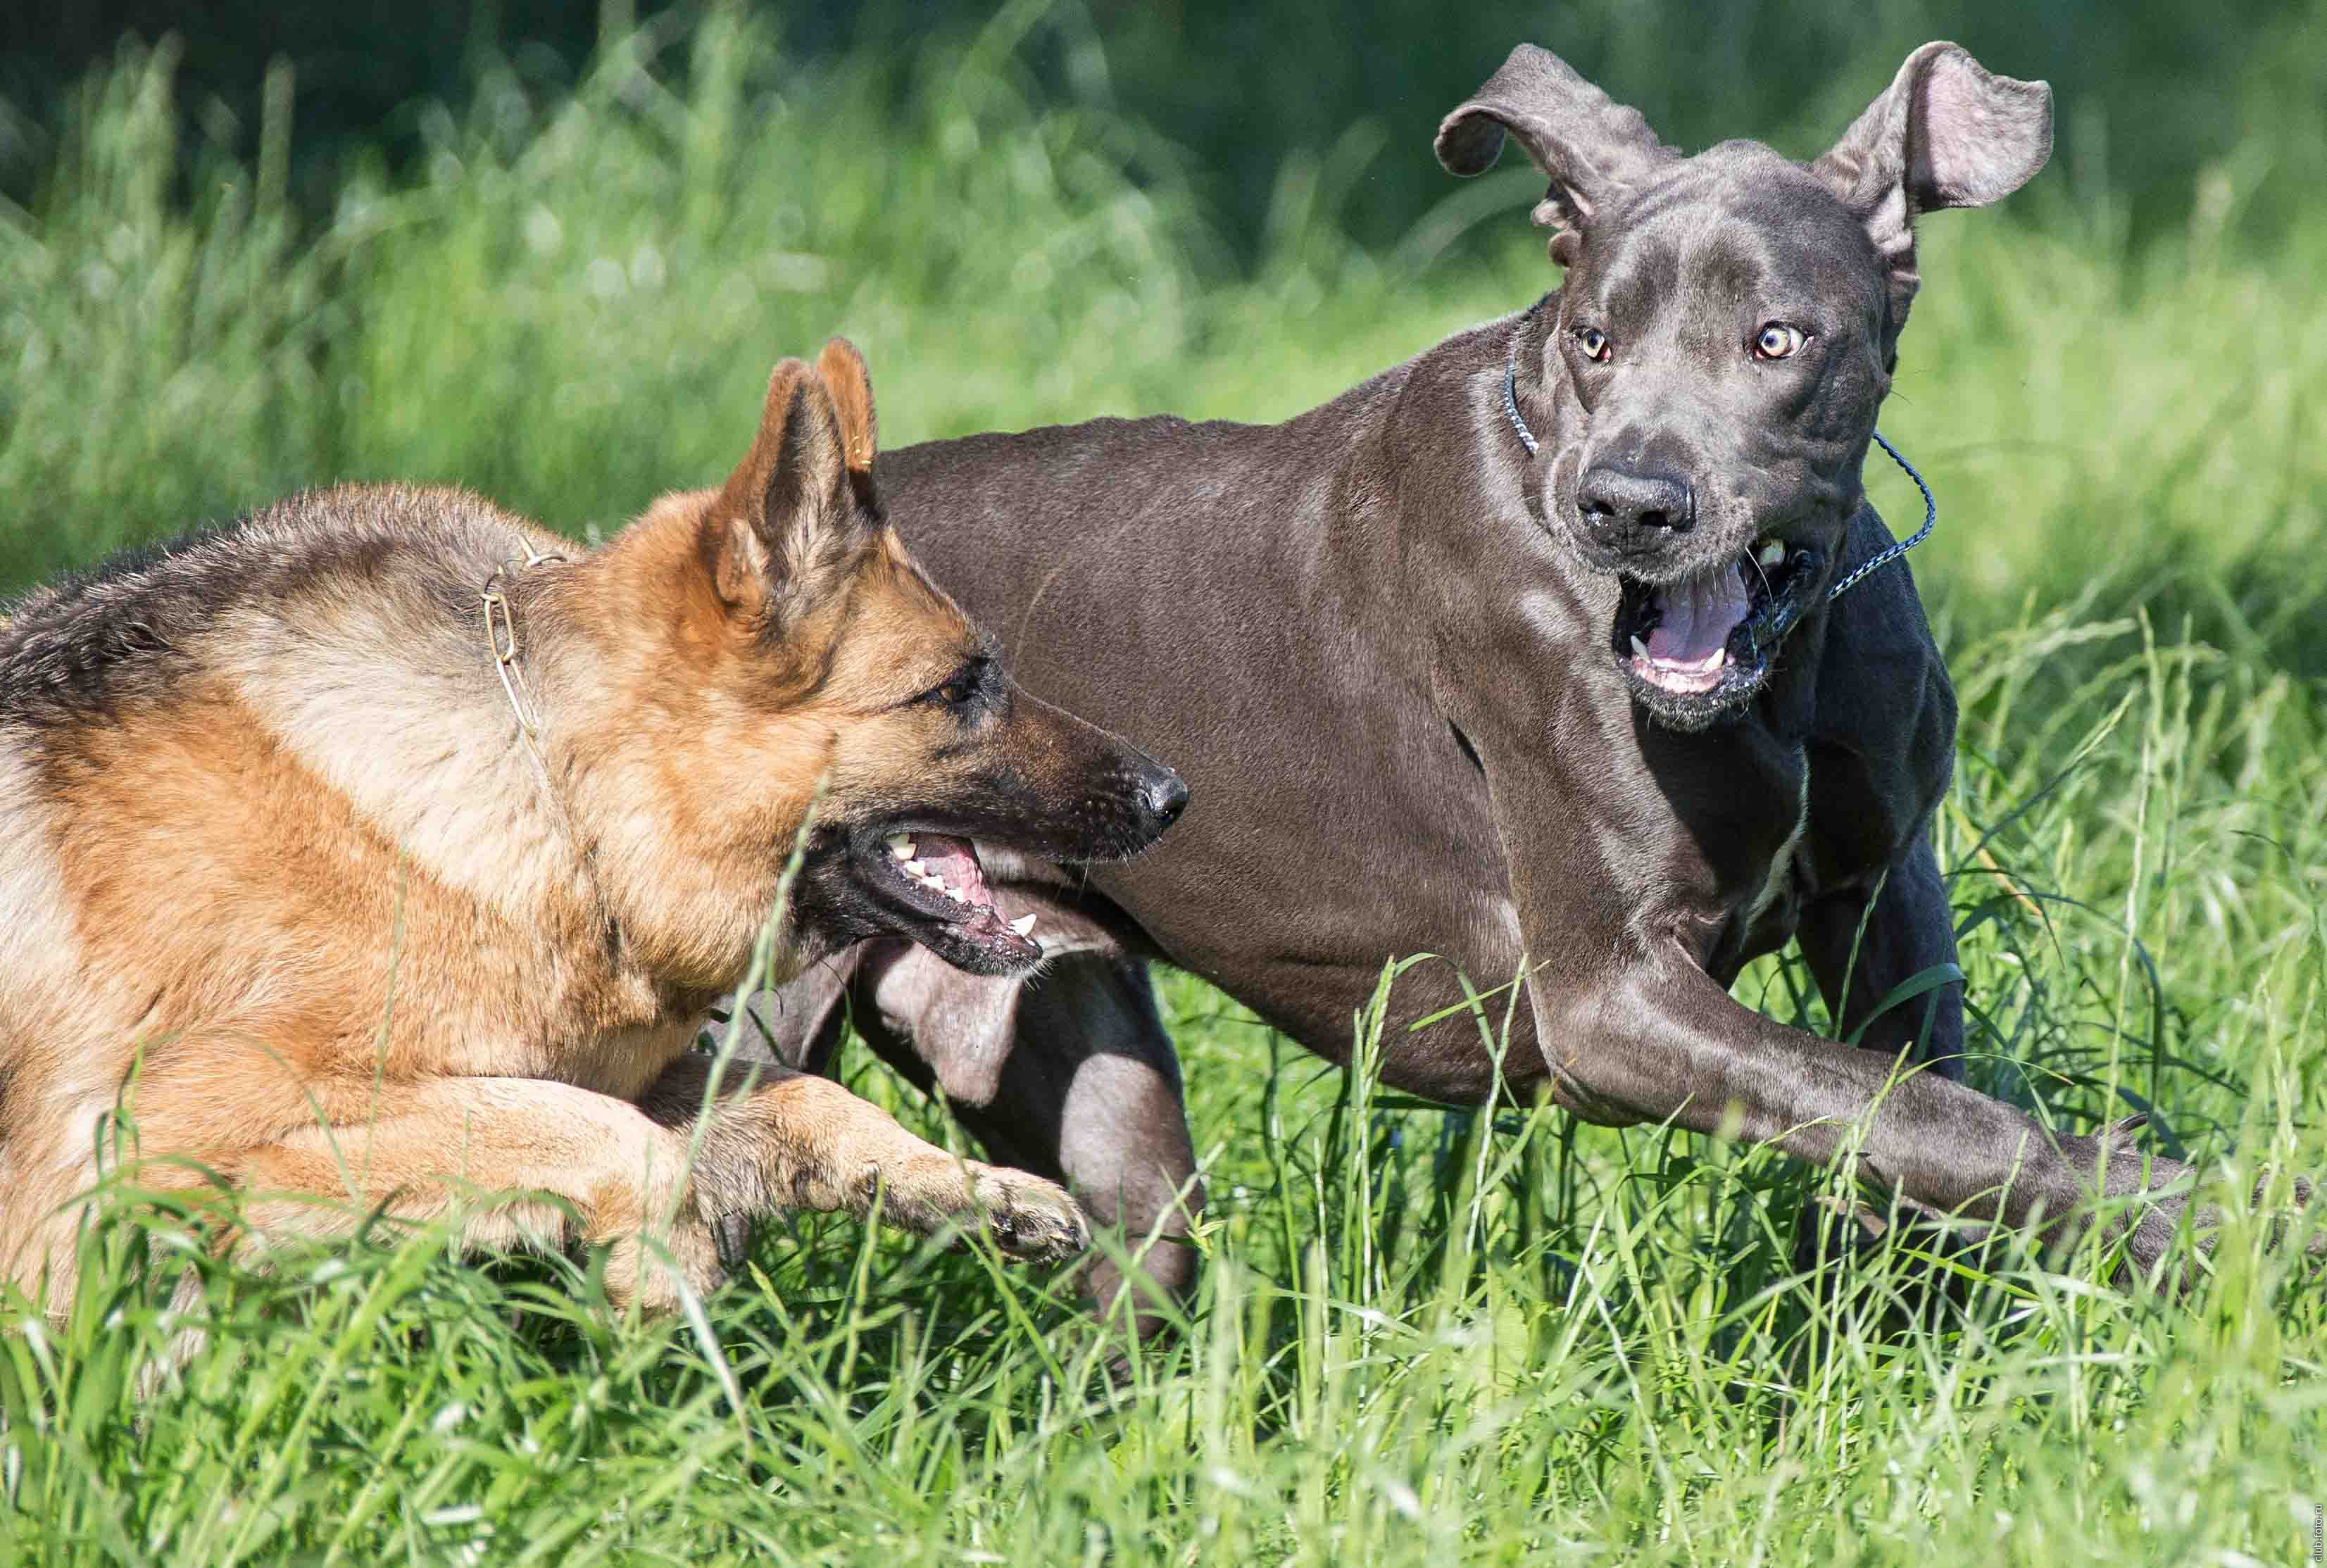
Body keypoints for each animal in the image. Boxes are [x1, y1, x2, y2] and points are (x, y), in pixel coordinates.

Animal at [0, 339, 1191, 1321]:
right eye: (958, 688)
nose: (1170, 795)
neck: (556, 796)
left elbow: (799, 1095)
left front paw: (977, 1189)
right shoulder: (175, 1122)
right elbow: (618, 1142)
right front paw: (663, 1272)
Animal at [739, 39, 2196, 1321]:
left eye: (1778, 341)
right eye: (1597, 340)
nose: (1630, 504)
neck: (1783, 669)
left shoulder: (1883, 890)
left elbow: (1913, 1109)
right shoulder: (1613, 996)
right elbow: (1923, 1112)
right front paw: (2178, 1213)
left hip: (1091, 1088)